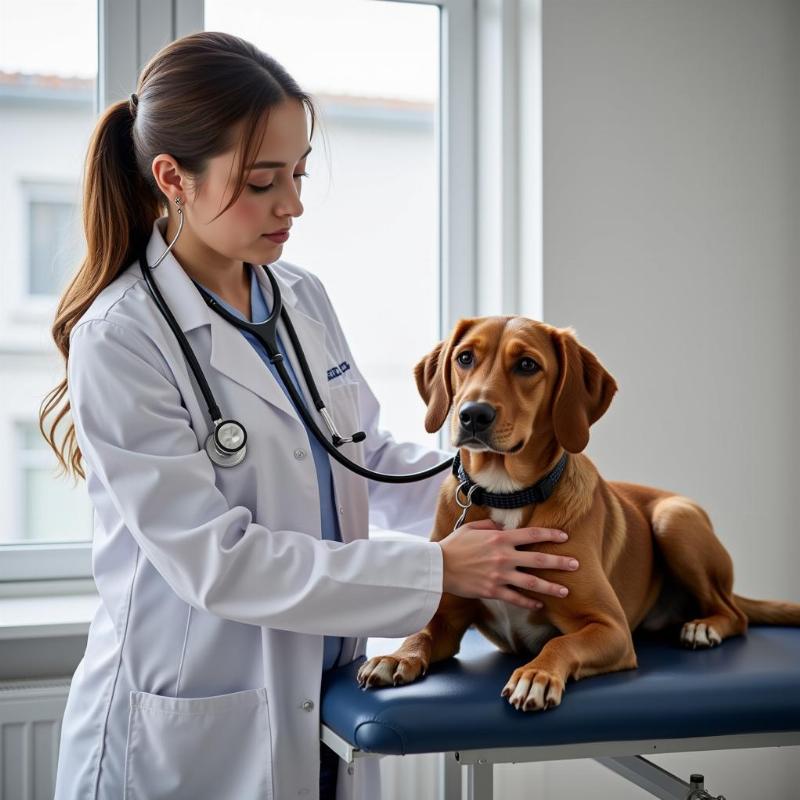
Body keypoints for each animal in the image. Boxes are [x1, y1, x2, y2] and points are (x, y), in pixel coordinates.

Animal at [360, 318, 800, 712]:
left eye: (527, 365)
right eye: (465, 358)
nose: (473, 414)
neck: (507, 494)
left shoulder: (611, 628)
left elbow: (561, 640)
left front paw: (536, 674)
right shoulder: (448, 618)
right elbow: (422, 632)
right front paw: (396, 655)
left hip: (673, 519)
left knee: (736, 614)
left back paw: (705, 626)